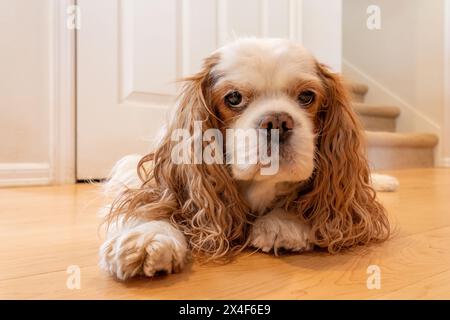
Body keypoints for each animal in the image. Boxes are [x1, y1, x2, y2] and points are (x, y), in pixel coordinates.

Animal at [100, 38, 396, 280]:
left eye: (306, 96)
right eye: (233, 97)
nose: (277, 121)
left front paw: (282, 223)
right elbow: (158, 203)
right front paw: (149, 236)